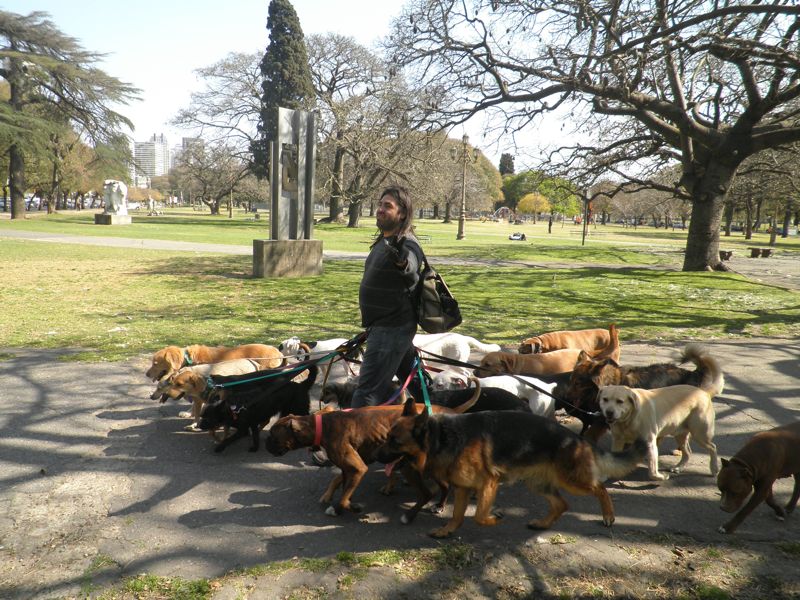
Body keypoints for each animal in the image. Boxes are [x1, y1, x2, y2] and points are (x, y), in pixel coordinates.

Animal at [592, 358, 724, 480]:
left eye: (620, 401)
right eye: (605, 399)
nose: (609, 412)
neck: (629, 420)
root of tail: (704, 391)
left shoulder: (650, 443)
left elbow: (652, 470)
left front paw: (660, 477)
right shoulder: (618, 441)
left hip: (700, 434)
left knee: (713, 447)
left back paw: (714, 468)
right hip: (680, 434)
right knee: (688, 452)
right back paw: (679, 467)